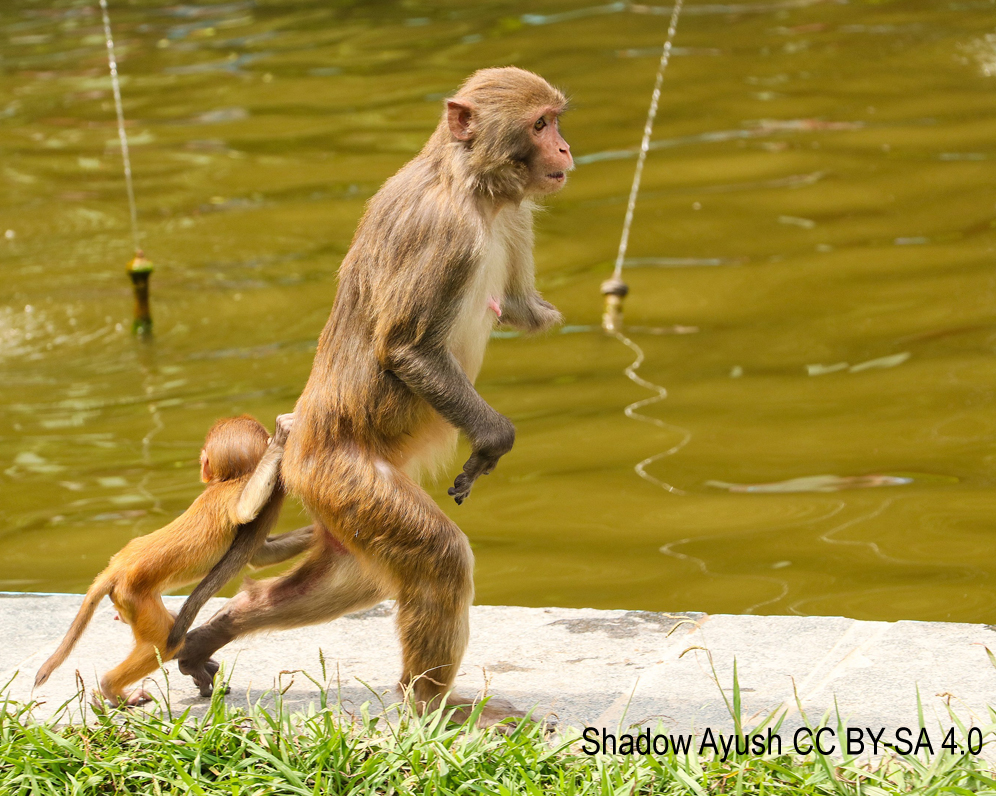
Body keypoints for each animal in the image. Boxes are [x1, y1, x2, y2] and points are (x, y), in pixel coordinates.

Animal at [34, 413, 312, 706]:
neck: (225, 480)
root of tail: (117, 566)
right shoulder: (231, 493)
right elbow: (246, 509)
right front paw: (279, 440)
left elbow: (261, 555)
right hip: (134, 596)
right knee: (163, 644)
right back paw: (114, 688)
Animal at [177, 67, 572, 727]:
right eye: (541, 124)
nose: (565, 148)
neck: (473, 189)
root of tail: (297, 444)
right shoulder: (445, 236)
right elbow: (408, 350)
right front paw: (492, 441)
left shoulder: (515, 217)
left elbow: (520, 307)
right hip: (343, 475)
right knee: (437, 558)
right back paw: (431, 704)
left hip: (341, 498)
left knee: (355, 572)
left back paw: (221, 626)